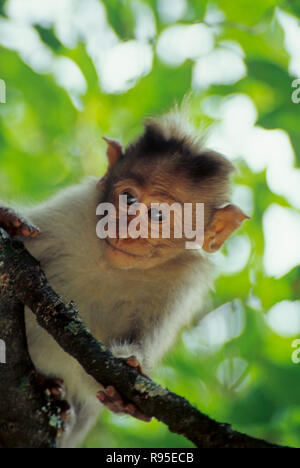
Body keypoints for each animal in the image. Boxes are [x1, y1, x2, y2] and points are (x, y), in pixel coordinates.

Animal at [0, 111, 248, 448]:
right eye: (128, 198)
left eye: (158, 215)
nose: (127, 228)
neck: (111, 266)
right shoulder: (74, 208)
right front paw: (10, 219)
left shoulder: (183, 281)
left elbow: (133, 344)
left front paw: (129, 382)